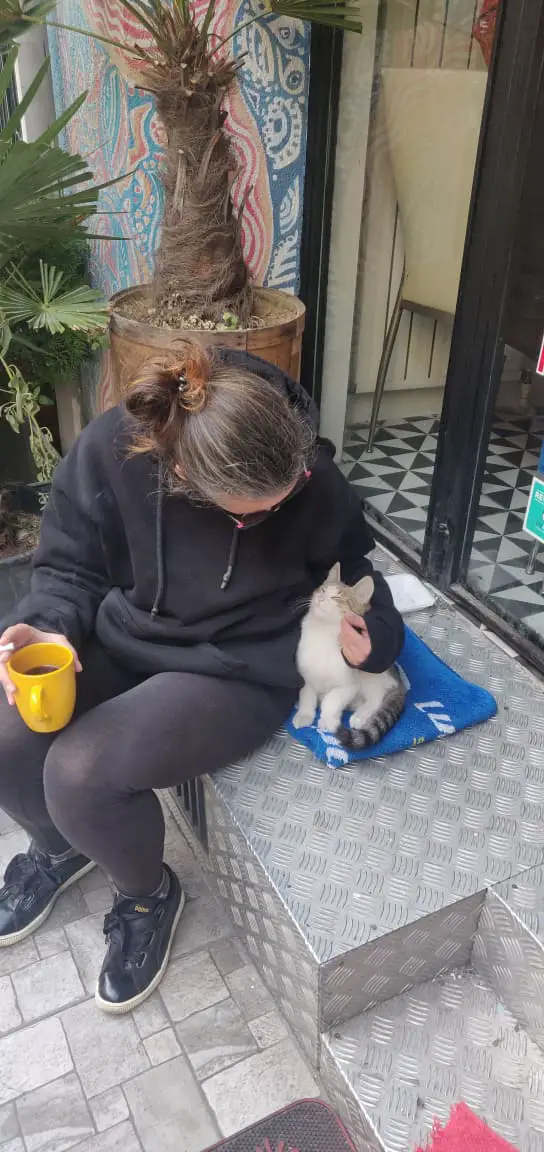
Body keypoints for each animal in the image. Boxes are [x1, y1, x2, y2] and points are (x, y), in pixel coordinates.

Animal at [293, 563, 406, 749]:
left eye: (337, 598)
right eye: (322, 590)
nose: (320, 598)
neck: (322, 633)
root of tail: (399, 682)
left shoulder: (348, 685)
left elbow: (331, 700)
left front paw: (327, 720)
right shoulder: (307, 677)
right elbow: (307, 694)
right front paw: (304, 713)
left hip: (370, 676)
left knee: (377, 697)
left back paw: (361, 715)